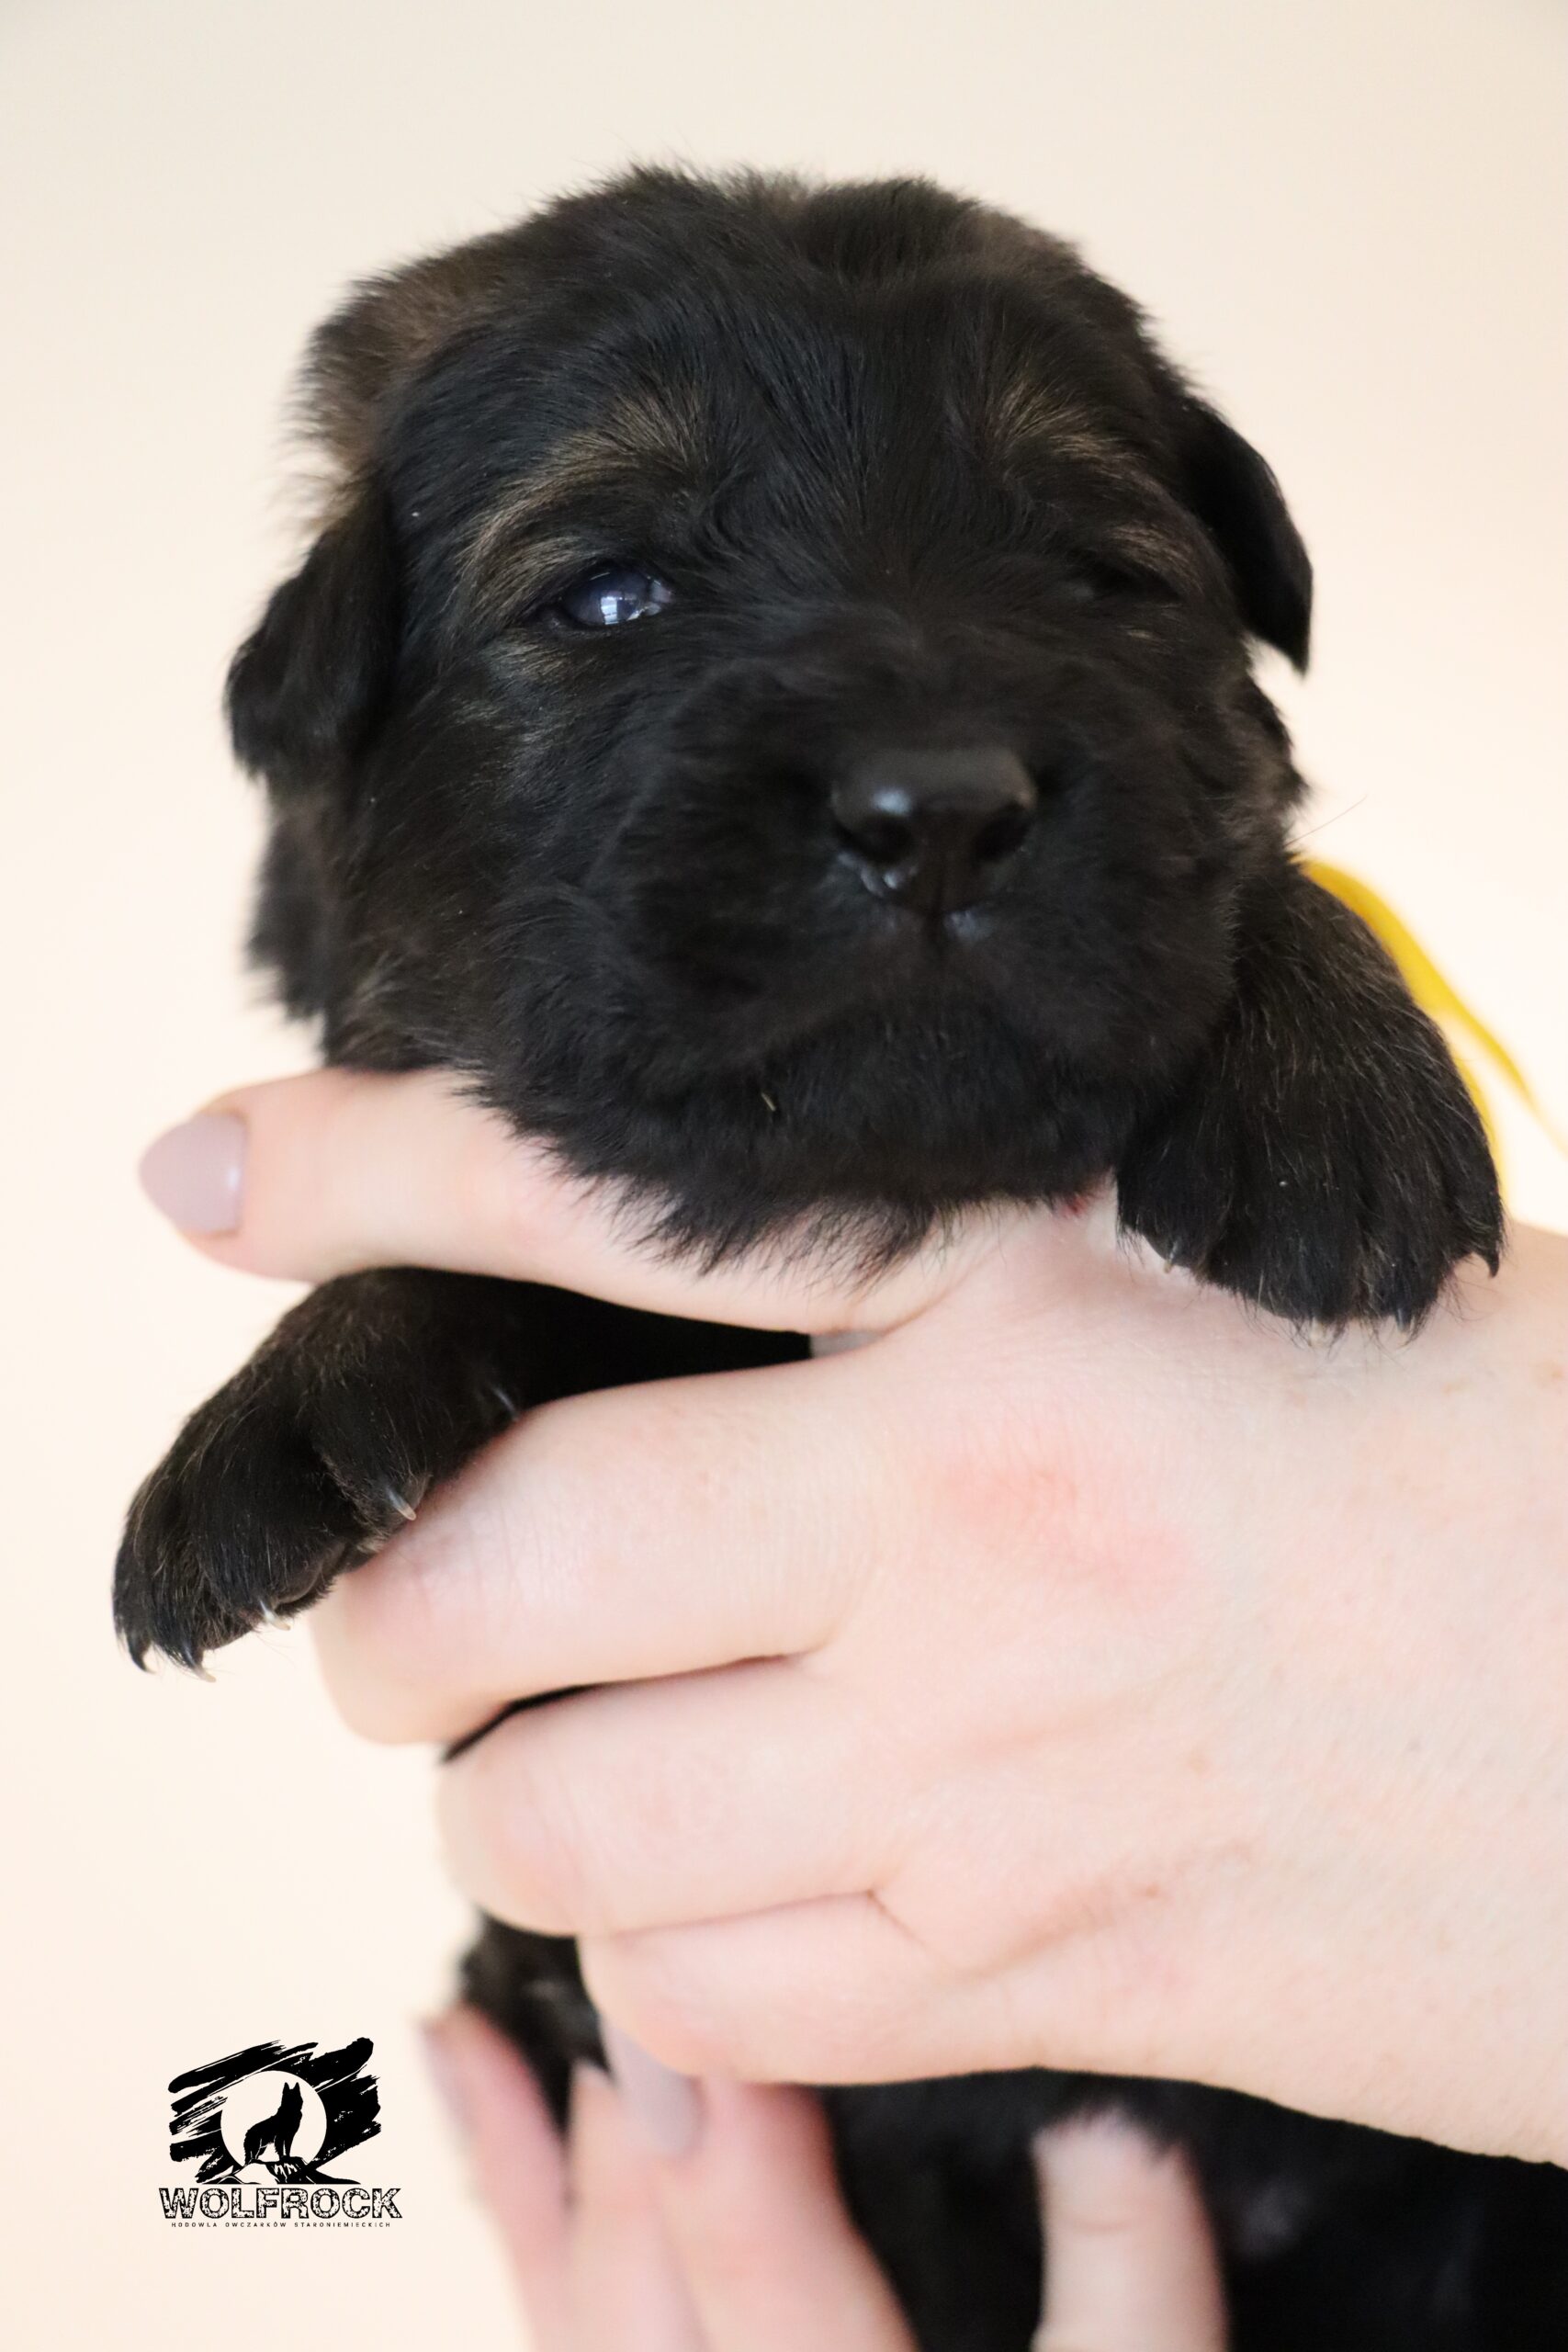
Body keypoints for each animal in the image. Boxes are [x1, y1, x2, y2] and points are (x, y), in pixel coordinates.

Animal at [114, 168, 1566, 2346]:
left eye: (1102, 579)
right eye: (608, 597)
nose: (940, 808)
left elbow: (1238, 858)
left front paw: (1330, 1091)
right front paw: (288, 1406)